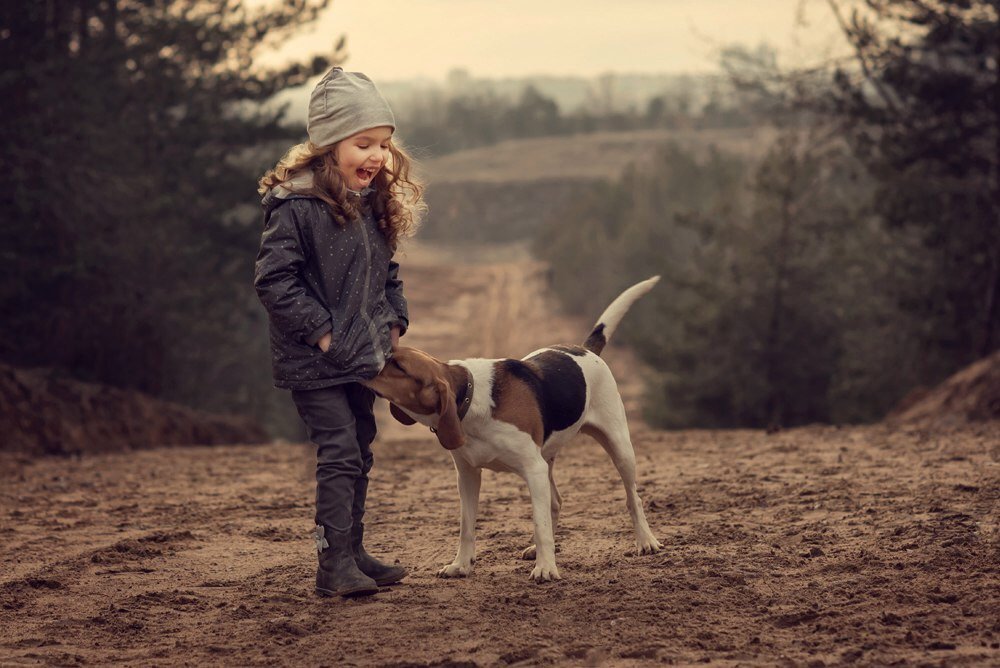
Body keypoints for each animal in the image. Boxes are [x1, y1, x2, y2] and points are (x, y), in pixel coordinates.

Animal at [362, 276, 664, 580]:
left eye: (399, 366)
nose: (362, 362)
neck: (473, 398)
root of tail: (585, 348)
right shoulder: (468, 475)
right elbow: (466, 527)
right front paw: (461, 565)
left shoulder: (532, 469)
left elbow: (539, 525)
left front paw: (545, 568)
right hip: (547, 462)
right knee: (555, 503)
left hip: (618, 447)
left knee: (633, 498)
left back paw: (645, 541)